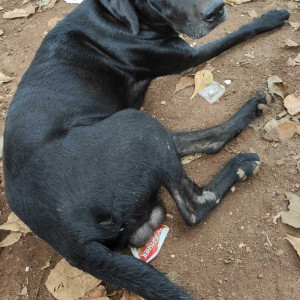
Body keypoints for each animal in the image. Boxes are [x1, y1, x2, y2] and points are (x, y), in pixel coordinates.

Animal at [1, 1, 288, 298]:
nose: (216, 10)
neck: (112, 18)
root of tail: (67, 240)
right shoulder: (188, 56)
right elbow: (236, 34)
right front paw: (268, 19)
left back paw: (252, 111)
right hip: (137, 125)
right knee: (194, 204)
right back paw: (241, 164)